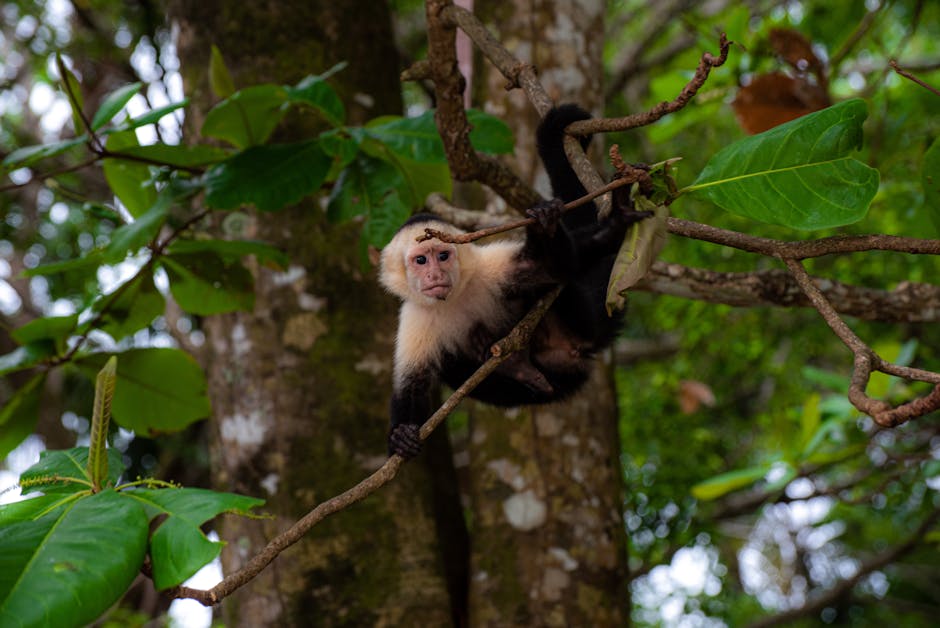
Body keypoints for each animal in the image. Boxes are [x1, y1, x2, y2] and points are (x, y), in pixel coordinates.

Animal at [380, 104, 651, 458]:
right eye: (420, 261)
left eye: (443, 255)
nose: (435, 275)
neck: (454, 298)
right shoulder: (415, 317)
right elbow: (410, 384)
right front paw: (400, 434)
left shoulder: (488, 268)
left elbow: (551, 268)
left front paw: (553, 225)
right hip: (557, 380)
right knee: (453, 362)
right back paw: (518, 368)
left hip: (581, 324)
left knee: (563, 286)